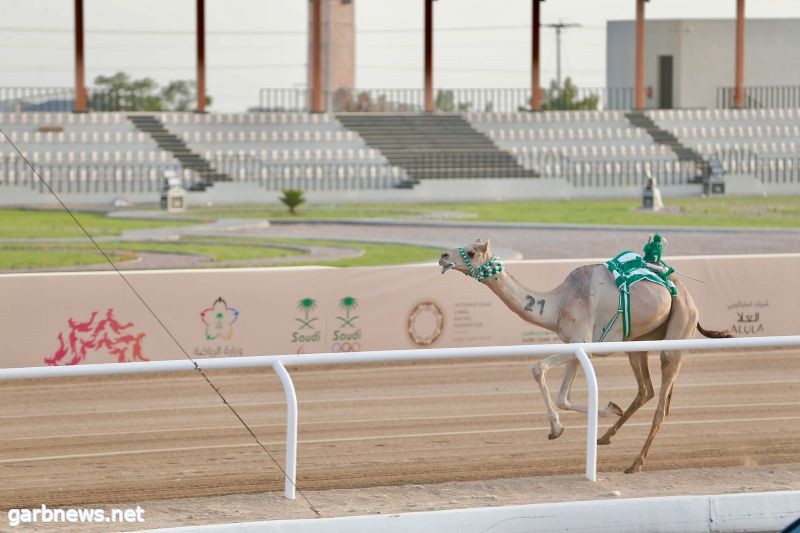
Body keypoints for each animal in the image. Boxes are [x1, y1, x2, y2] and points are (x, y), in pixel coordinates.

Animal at [438, 239, 732, 472]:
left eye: (471, 251)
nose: (442, 256)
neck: (557, 305)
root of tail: (684, 291)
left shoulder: (583, 341)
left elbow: (538, 369)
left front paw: (557, 428)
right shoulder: (574, 345)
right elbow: (563, 397)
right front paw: (607, 410)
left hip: (678, 330)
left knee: (661, 403)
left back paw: (635, 463)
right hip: (638, 342)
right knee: (646, 390)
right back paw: (605, 437)